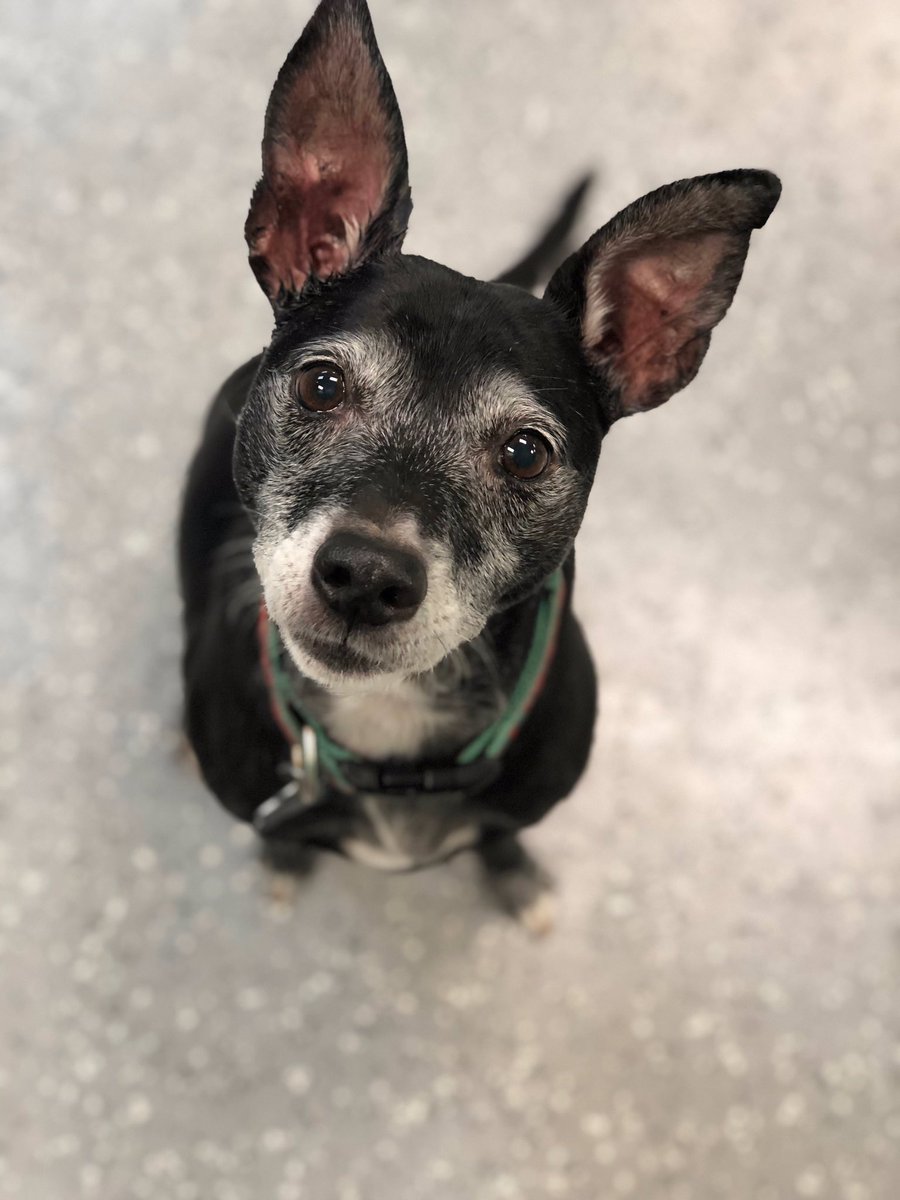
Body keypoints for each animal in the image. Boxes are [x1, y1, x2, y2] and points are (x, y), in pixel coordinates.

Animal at [177, 0, 782, 926]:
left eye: (526, 452)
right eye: (321, 384)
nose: (365, 577)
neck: (390, 729)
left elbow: (500, 834)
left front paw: (514, 874)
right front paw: (283, 855)